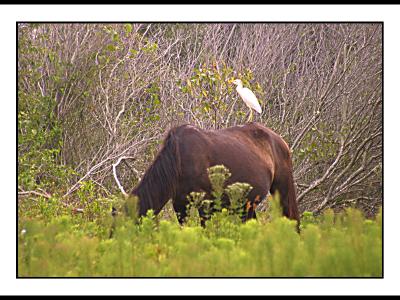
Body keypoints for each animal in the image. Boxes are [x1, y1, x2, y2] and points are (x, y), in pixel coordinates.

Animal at [131, 122, 300, 227]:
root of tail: (281, 141)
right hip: (247, 206)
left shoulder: (205, 205)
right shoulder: (179, 204)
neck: (178, 158)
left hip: (282, 191)